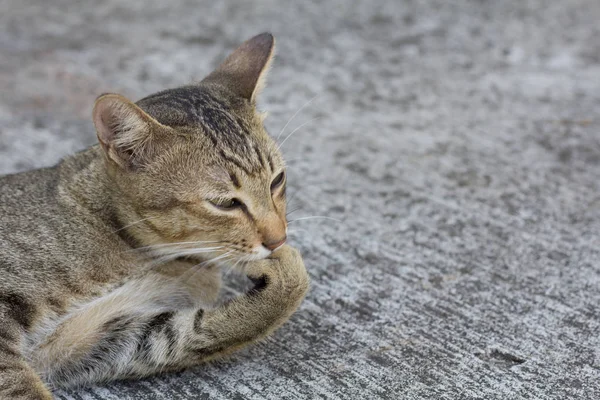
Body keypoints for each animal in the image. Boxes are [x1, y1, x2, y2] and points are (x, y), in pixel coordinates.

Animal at [0, 32, 310, 398]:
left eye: (277, 180)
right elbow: (20, 384)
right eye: (224, 203)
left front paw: (289, 273)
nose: (278, 239)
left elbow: (195, 332)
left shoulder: (99, 338)